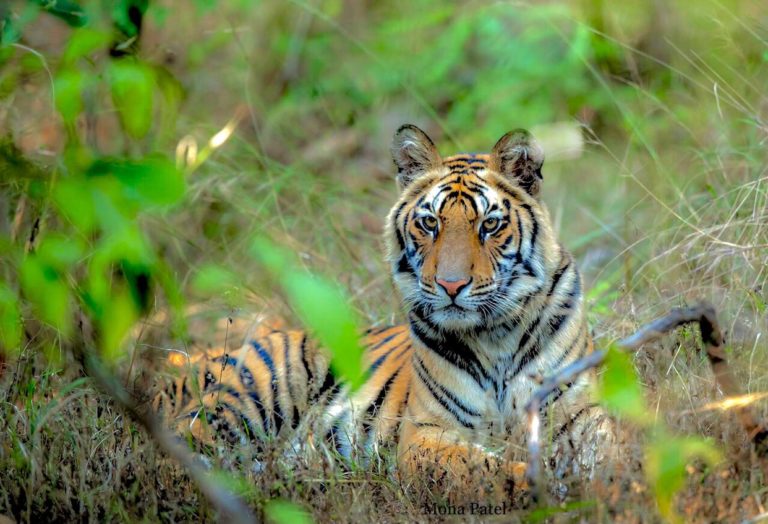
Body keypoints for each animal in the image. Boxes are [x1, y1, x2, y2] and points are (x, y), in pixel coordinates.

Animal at [152, 125, 608, 498]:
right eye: (430, 224)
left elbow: (608, 452)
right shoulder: (427, 433)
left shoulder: (580, 412)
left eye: (489, 225)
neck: (496, 336)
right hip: (250, 401)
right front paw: (549, 485)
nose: (451, 286)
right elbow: (486, 468)